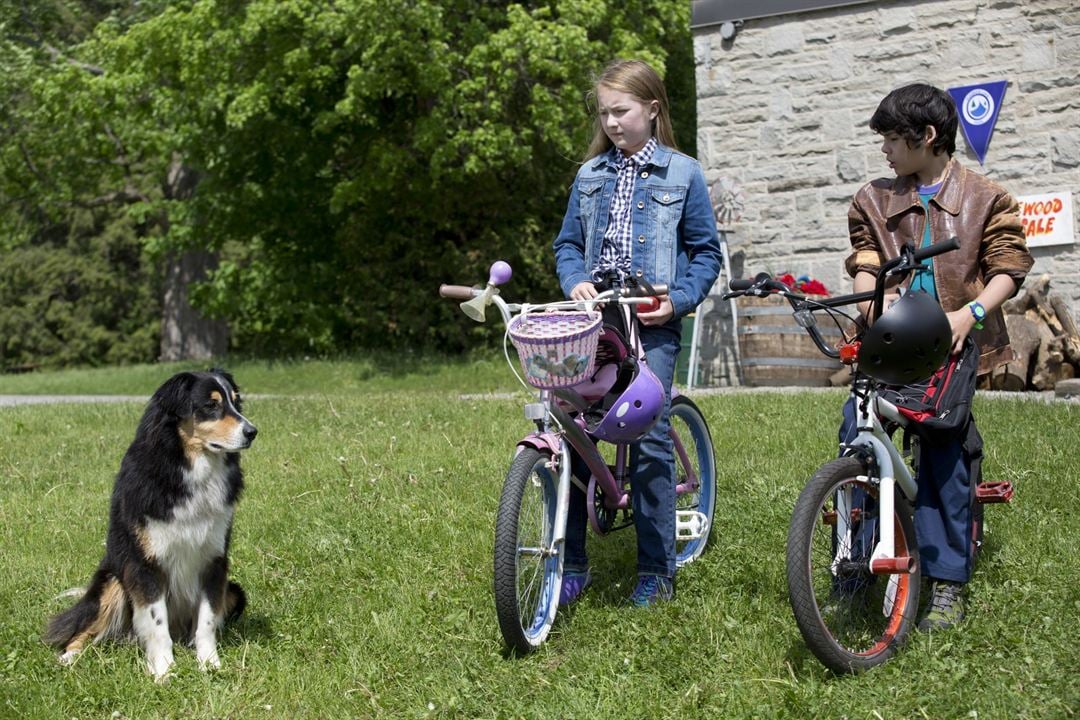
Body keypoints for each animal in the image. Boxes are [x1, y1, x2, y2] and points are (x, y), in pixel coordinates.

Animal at [47, 371, 258, 682]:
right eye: (211, 405)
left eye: (235, 401)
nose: (252, 432)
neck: (188, 466)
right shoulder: (146, 563)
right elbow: (157, 623)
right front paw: (164, 671)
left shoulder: (214, 561)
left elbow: (207, 620)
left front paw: (209, 664)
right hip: (114, 581)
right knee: (84, 629)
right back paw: (69, 657)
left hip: (234, 591)